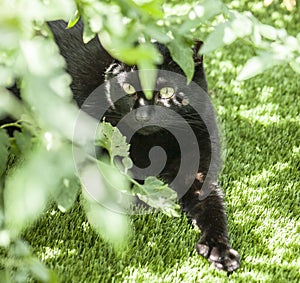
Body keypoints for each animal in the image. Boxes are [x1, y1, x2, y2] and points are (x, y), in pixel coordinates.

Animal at [46, 20, 239, 272]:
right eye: (128, 88)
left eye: (167, 91)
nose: (143, 114)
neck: (156, 143)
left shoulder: (199, 174)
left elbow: (214, 208)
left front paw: (221, 251)